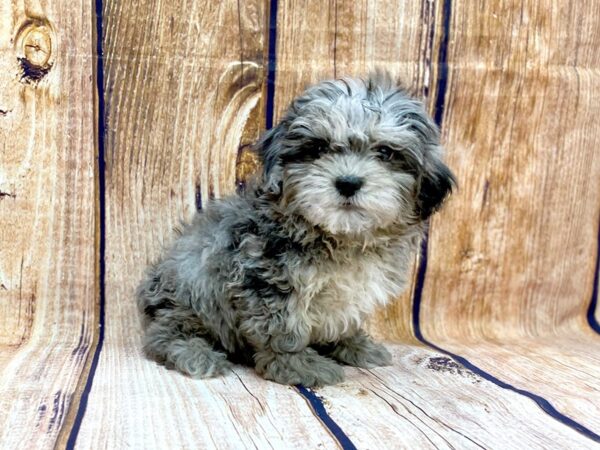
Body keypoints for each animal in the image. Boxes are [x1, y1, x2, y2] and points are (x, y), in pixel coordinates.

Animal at [136, 74, 454, 386]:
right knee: (165, 334)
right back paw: (196, 354)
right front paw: (297, 366)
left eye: (385, 153)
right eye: (318, 148)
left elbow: (346, 318)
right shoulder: (266, 280)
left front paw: (354, 345)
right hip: (186, 294)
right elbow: (281, 329)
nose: (348, 182)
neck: (342, 237)